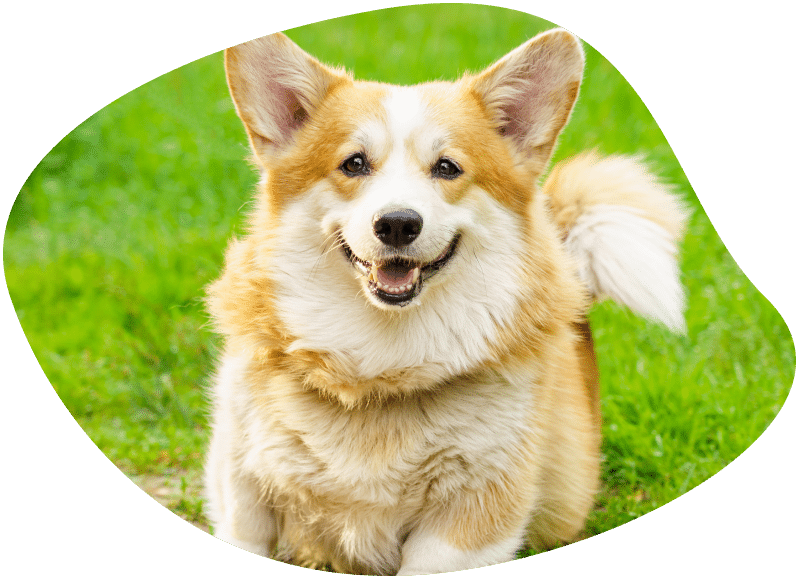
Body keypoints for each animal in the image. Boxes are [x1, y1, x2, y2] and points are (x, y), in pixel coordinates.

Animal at [203, 28, 684, 576]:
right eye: (354, 163)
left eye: (447, 167)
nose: (396, 224)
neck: (380, 365)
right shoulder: (244, 492)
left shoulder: (469, 519)